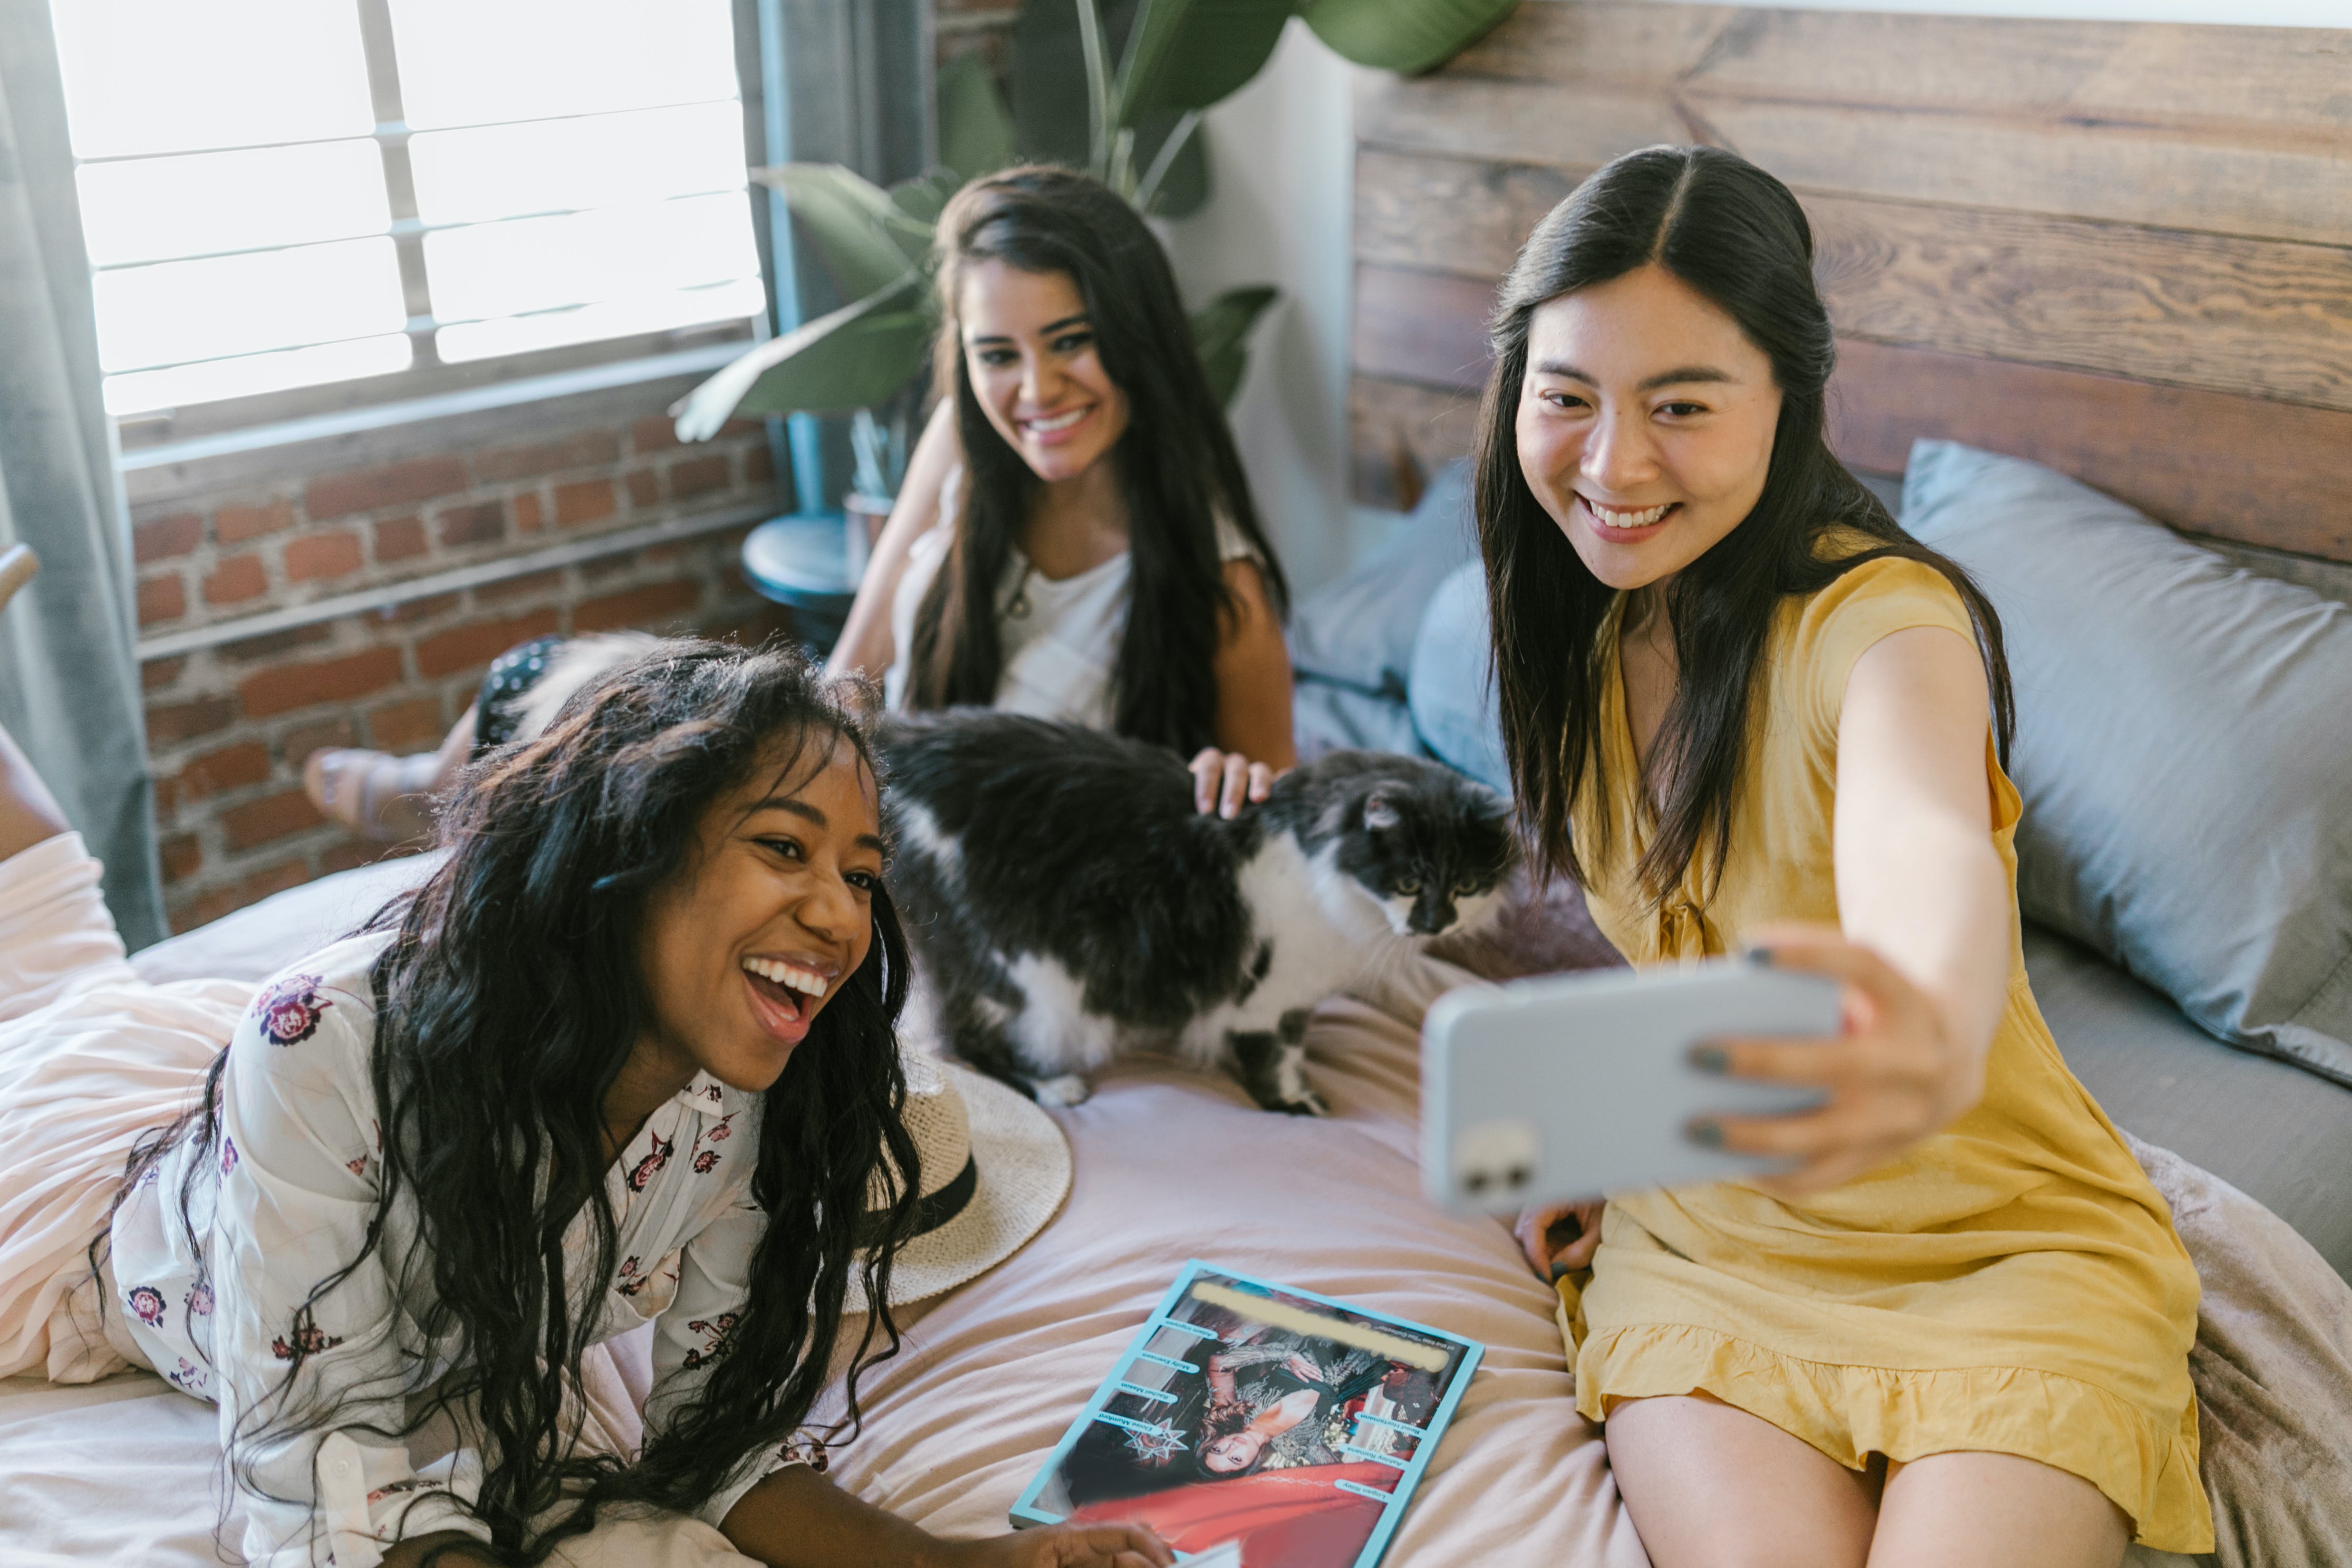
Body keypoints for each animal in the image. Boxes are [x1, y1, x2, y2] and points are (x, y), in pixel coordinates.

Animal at [875, 710, 1514, 1114]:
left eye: (1467, 883)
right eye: (1408, 880)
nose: (1436, 923)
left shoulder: (1298, 998)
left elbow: (1294, 1048)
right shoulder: (1267, 999)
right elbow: (1275, 1057)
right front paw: (1294, 1103)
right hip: (1022, 977)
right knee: (966, 1038)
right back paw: (1055, 1087)